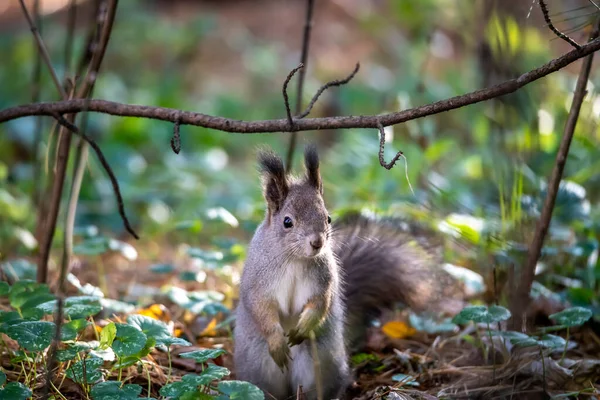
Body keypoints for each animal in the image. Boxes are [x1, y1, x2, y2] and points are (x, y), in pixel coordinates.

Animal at [234, 145, 460, 400]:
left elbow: (320, 302)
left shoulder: (323, 280)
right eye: (287, 222)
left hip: (320, 364)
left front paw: (303, 327)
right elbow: (261, 308)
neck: (295, 259)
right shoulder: (258, 282)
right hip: (261, 369)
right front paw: (276, 341)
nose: (317, 243)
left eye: (328, 218)